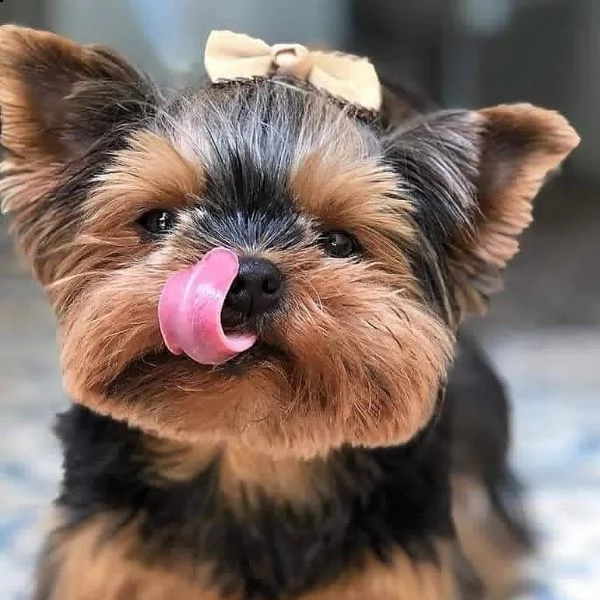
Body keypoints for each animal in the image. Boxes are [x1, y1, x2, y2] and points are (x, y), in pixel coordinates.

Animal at [1, 27, 580, 600]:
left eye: (340, 242)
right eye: (159, 220)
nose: (249, 278)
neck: (249, 456)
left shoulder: (407, 573)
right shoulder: (98, 562)